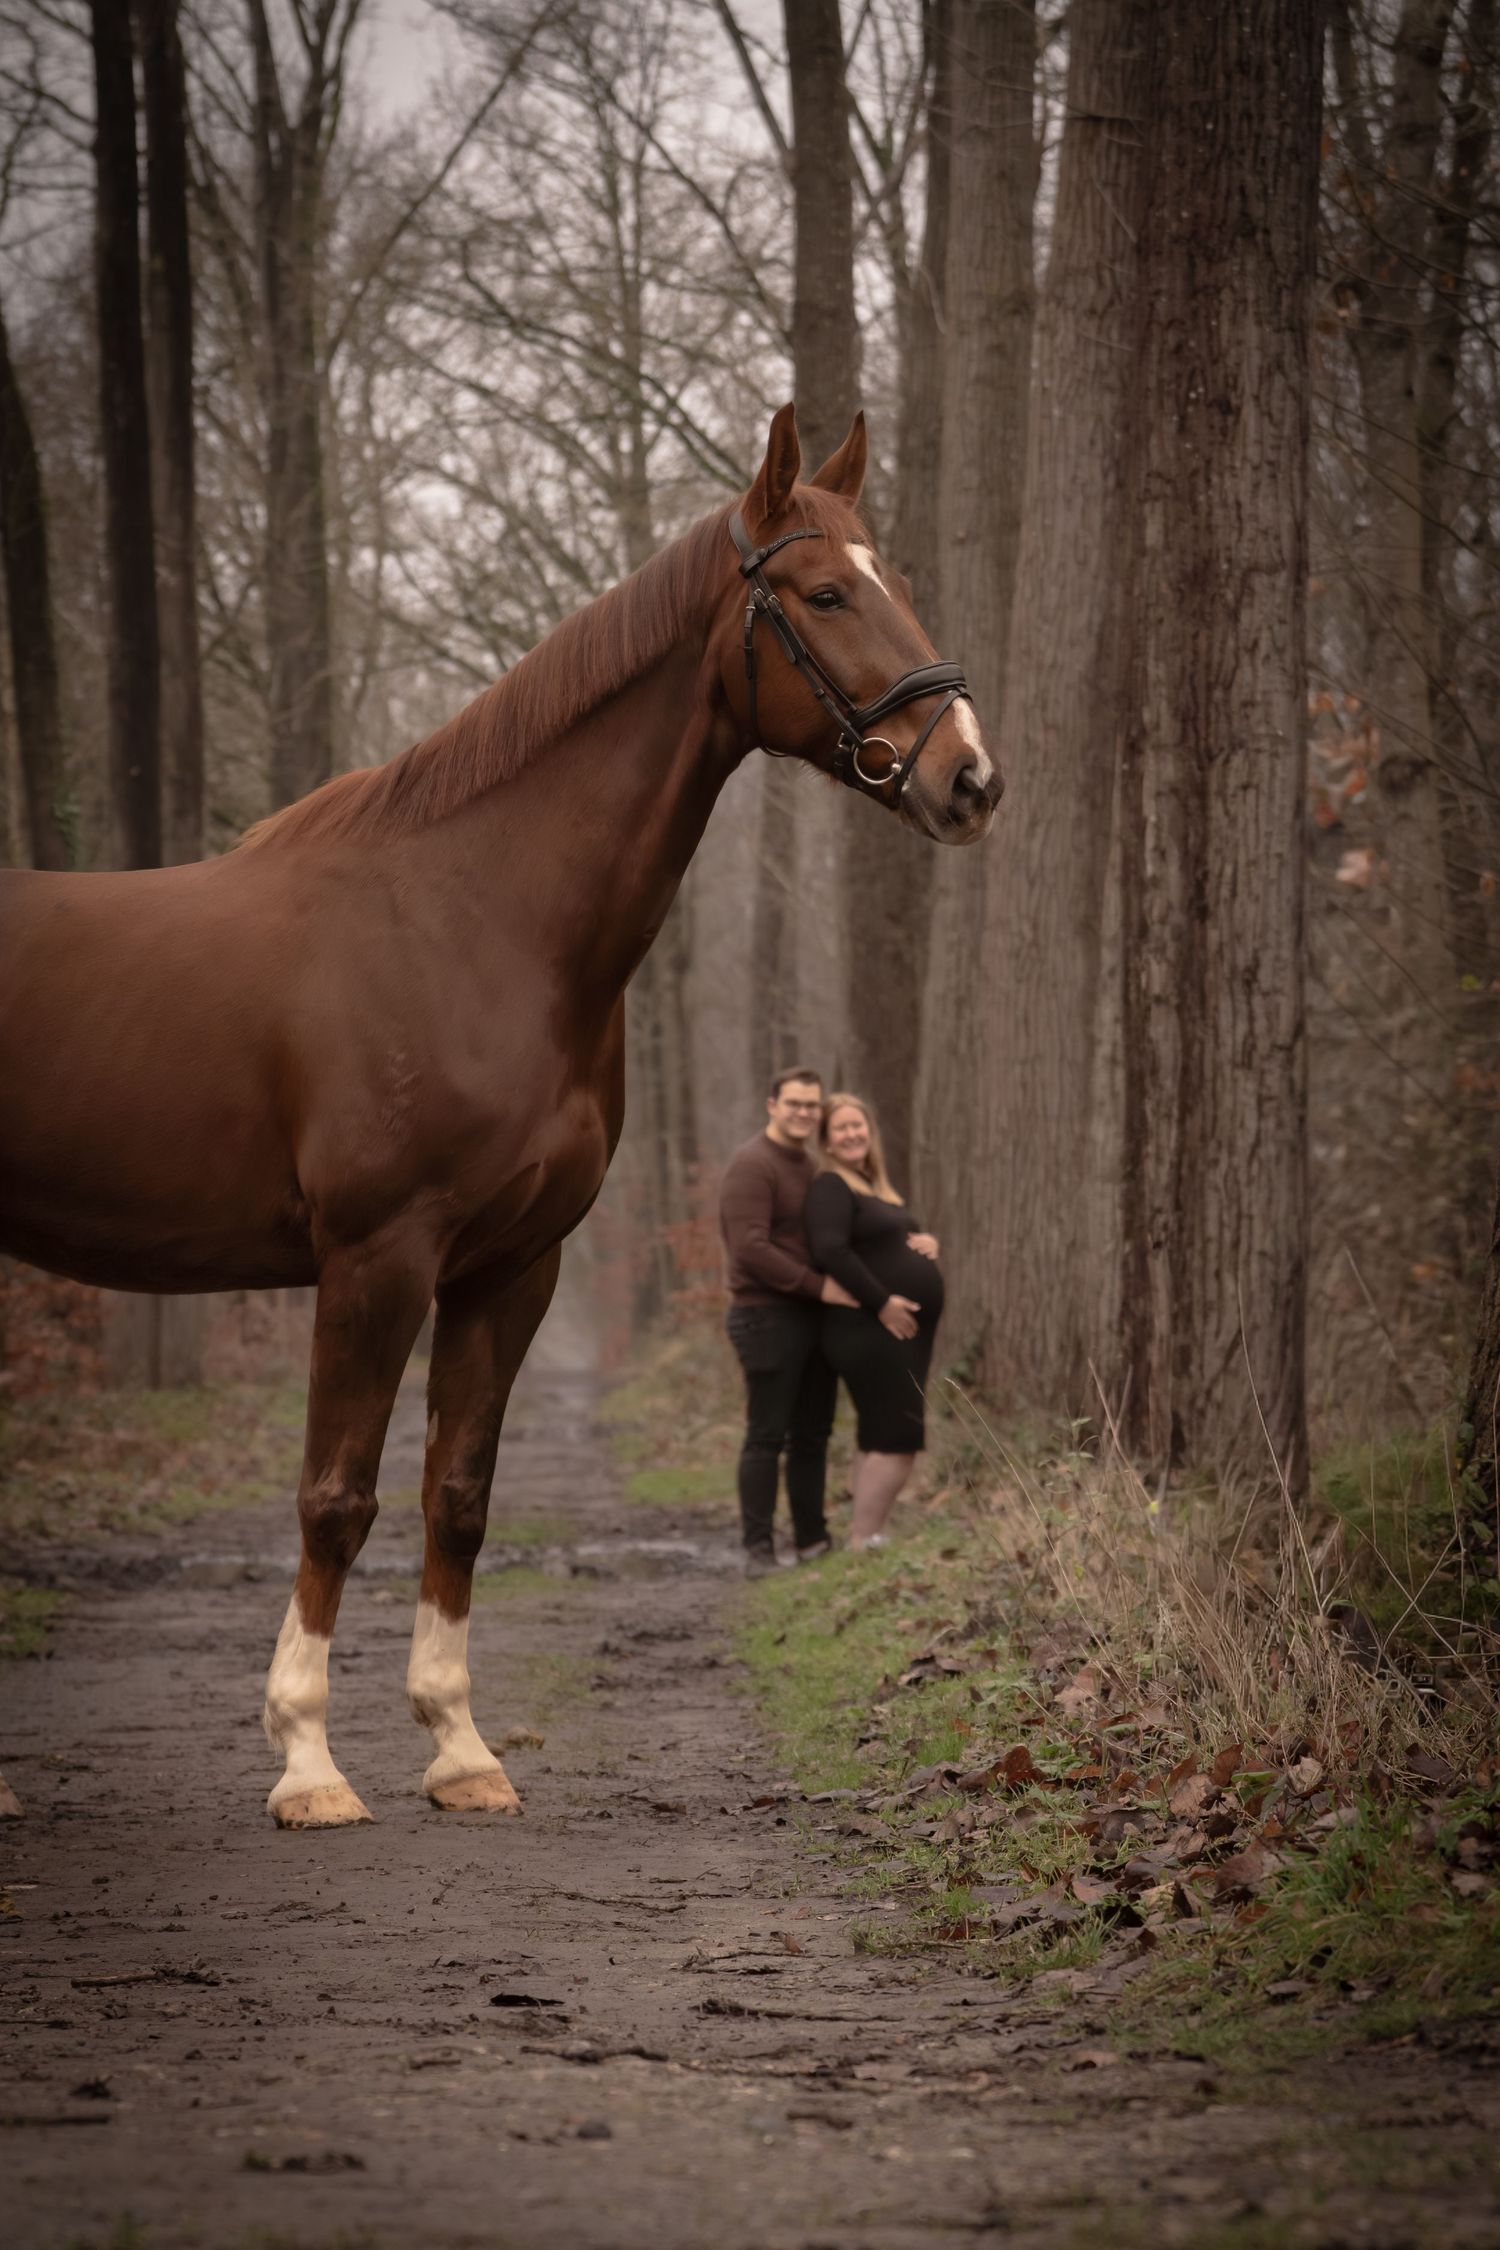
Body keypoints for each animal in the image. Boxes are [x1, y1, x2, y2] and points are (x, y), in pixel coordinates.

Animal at [0, 405, 1000, 1828]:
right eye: (823, 594)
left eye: (895, 580)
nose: (970, 778)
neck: (478, 921)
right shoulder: (376, 1260)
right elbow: (336, 1498)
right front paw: (308, 1762)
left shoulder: (513, 1266)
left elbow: (459, 1495)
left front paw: (460, 1750)